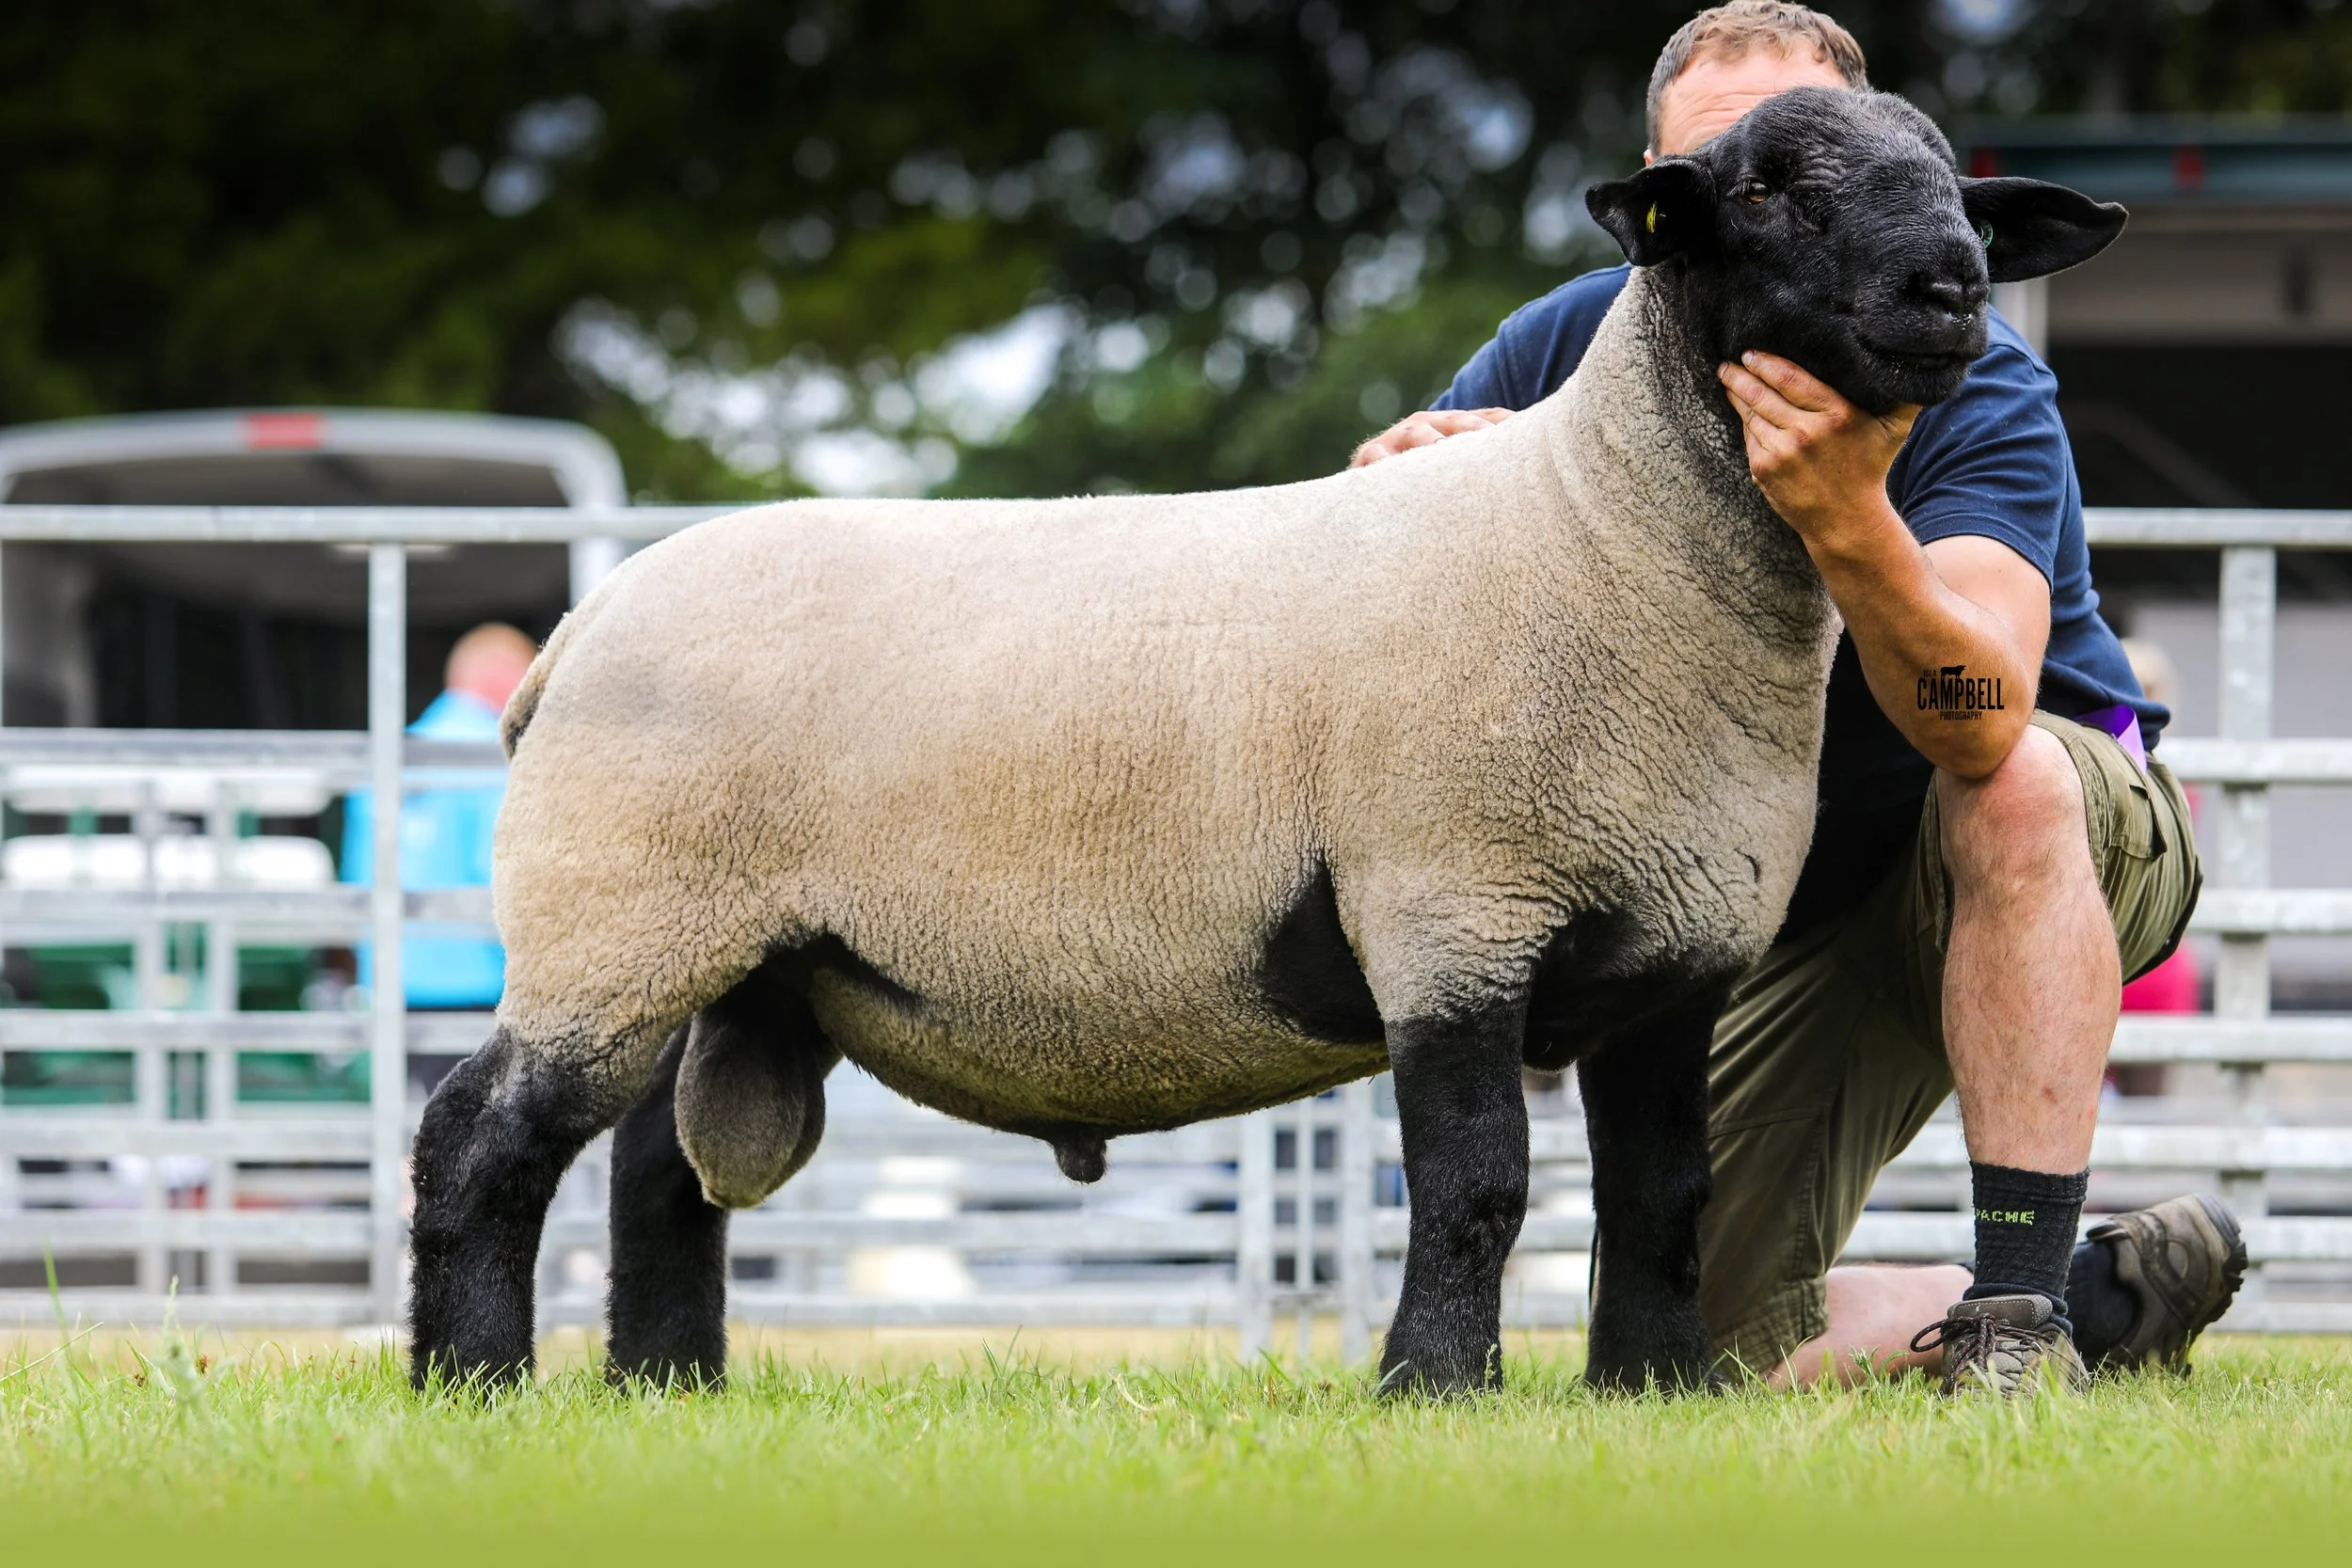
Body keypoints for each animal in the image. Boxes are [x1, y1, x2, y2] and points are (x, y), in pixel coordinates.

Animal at [405, 87, 2123, 1397]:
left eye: (1955, 187)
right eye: (1770, 186)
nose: (1953, 287)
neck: (1609, 540)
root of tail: (578, 627)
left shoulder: (1675, 950)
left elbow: (1662, 1194)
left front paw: (1655, 1385)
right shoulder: (1452, 906)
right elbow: (1481, 1179)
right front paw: (1436, 1386)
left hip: (722, 949)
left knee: (656, 1174)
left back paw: (666, 1384)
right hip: (614, 912)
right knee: (482, 1137)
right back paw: (473, 1382)